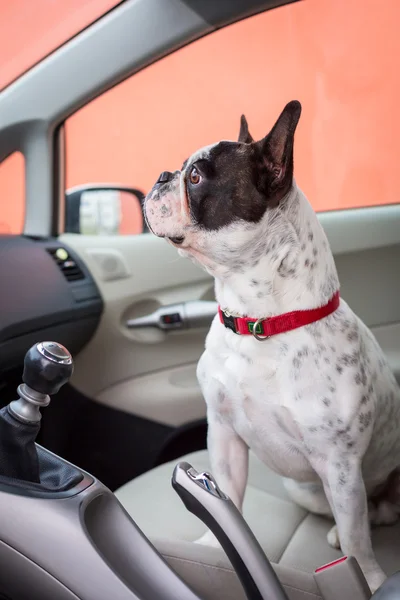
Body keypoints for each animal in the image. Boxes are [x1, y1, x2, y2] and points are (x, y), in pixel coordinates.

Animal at [144, 101, 400, 592]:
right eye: (181, 171)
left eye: (196, 177)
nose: (162, 175)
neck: (260, 324)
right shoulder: (224, 433)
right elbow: (226, 495)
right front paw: (211, 545)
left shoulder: (340, 464)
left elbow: (358, 538)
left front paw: (371, 577)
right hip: (305, 488)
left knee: (367, 517)